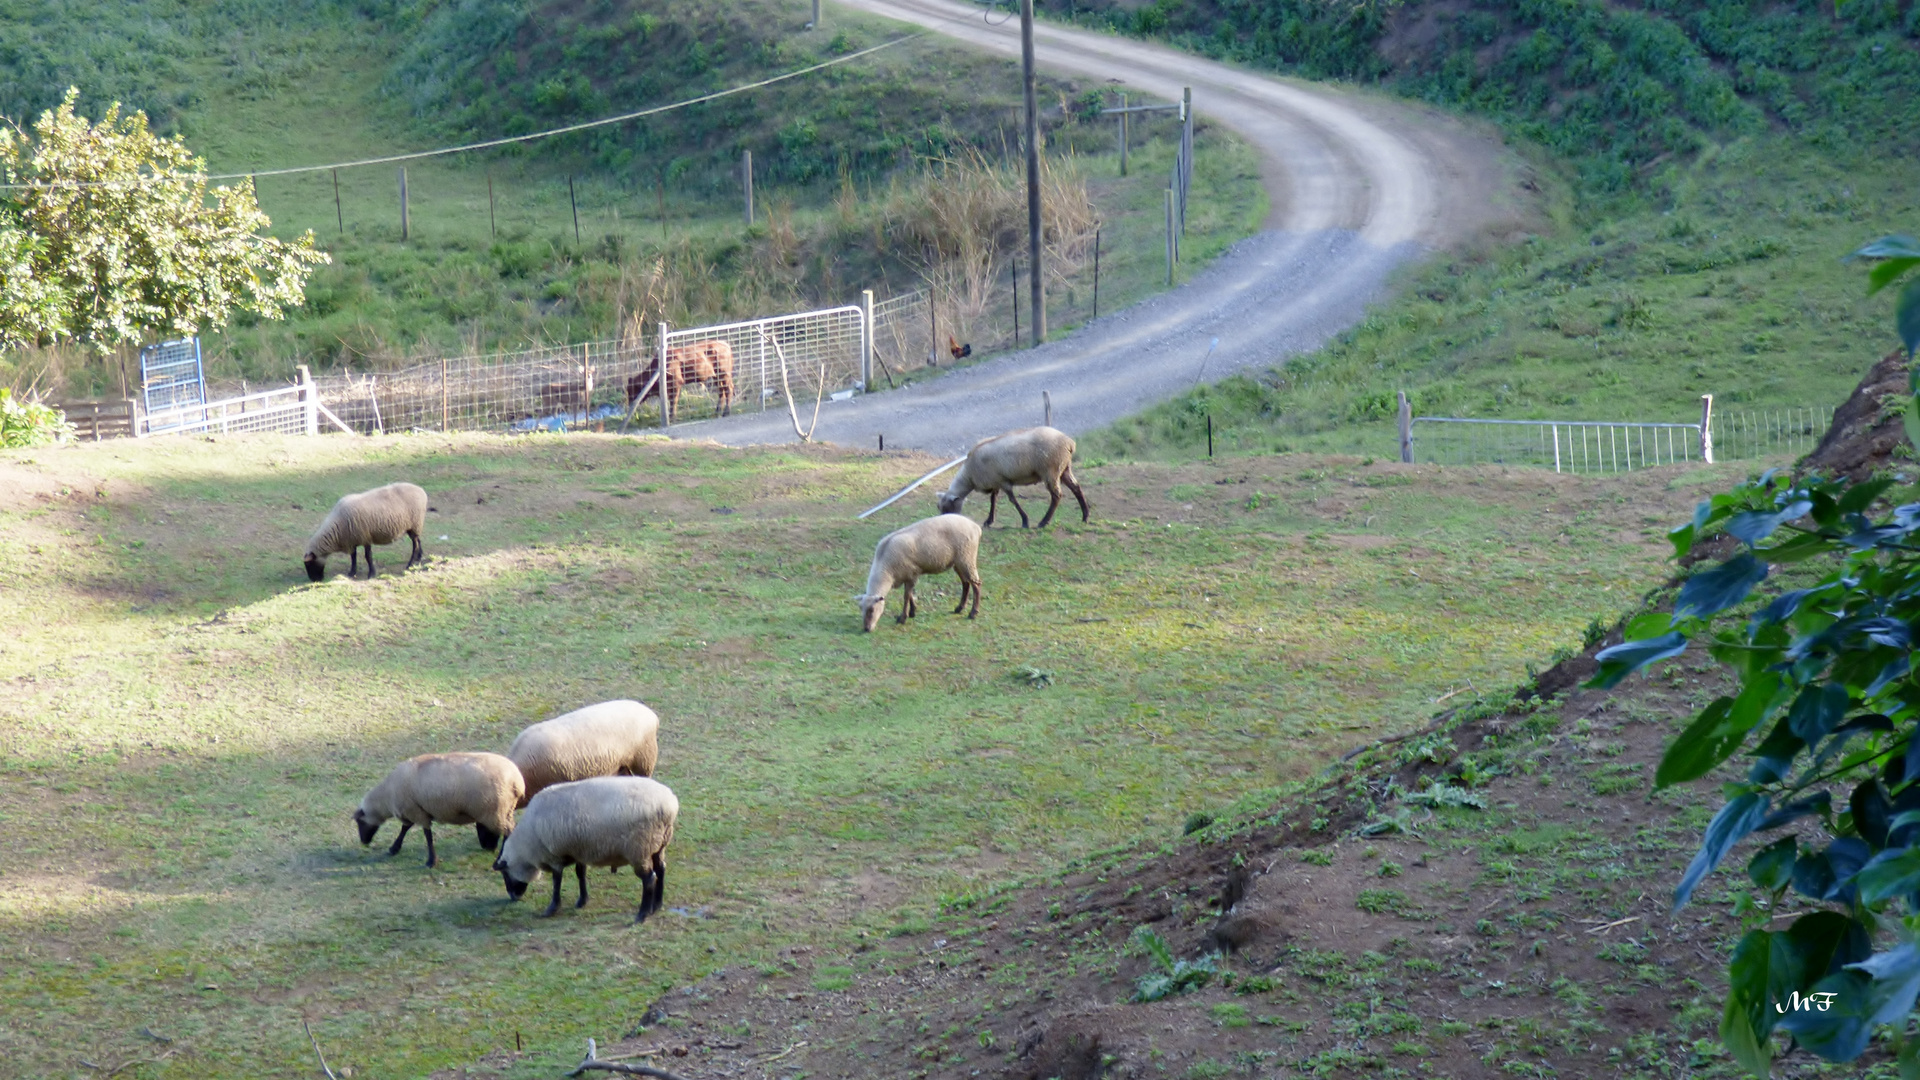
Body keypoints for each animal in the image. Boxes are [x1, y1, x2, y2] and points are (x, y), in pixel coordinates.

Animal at [355, 749, 529, 864]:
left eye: (359, 822)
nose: (363, 842)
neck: (386, 797)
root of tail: (517, 781)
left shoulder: (415, 811)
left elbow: (426, 835)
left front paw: (431, 861)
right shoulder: (416, 810)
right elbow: (406, 828)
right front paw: (394, 848)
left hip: (494, 812)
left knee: (509, 831)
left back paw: (500, 859)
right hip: (504, 810)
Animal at [491, 772, 679, 914]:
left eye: (504, 873)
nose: (513, 897)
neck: (529, 840)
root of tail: (669, 804)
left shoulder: (554, 856)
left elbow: (556, 881)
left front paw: (552, 908)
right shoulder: (579, 850)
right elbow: (580, 873)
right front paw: (582, 900)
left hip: (639, 848)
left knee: (649, 878)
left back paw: (642, 915)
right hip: (658, 844)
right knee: (661, 869)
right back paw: (657, 906)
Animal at [936, 428, 1090, 530]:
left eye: (947, 507)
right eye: (939, 507)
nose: (945, 524)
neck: (969, 475)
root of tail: (1069, 442)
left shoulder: (1002, 481)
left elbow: (1012, 500)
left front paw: (1025, 521)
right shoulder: (995, 481)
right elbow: (993, 500)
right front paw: (989, 521)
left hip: (1050, 470)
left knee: (1057, 495)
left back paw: (1043, 522)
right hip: (1064, 468)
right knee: (1076, 488)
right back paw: (1085, 516)